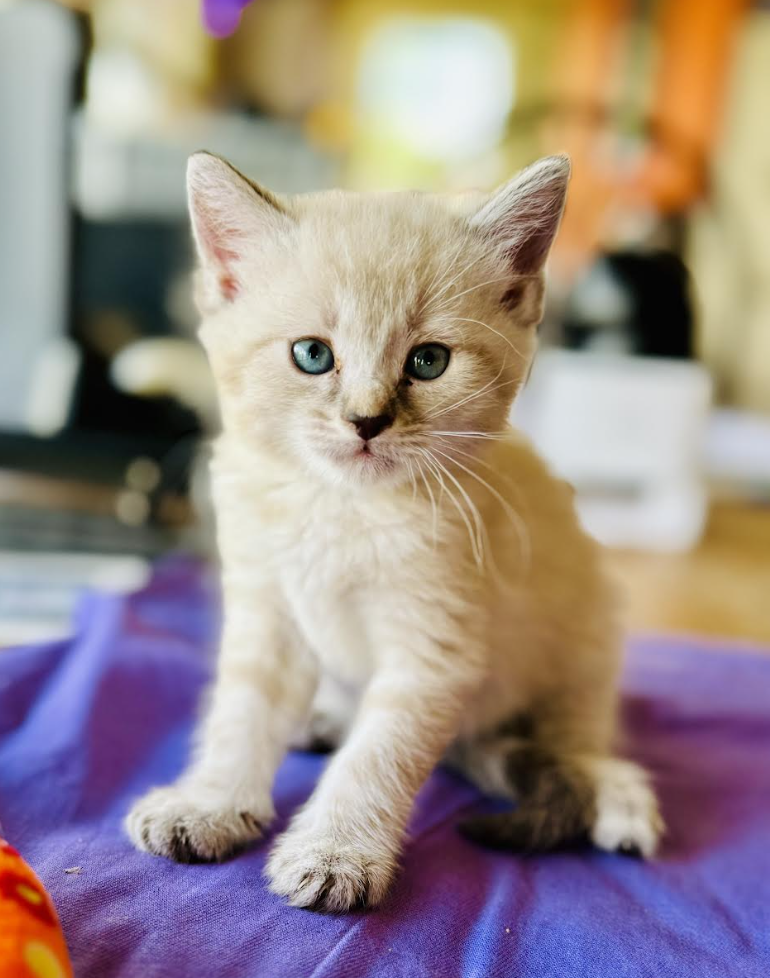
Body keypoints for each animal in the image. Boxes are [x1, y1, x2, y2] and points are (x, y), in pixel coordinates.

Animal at [124, 151, 660, 908]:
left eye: (428, 361)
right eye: (312, 355)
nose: (367, 420)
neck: (341, 510)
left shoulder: (435, 651)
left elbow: (378, 754)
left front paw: (336, 852)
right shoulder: (268, 612)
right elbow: (241, 715)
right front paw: (209, 804)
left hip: (583, 653)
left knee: (575, 750)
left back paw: (620, 802)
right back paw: (321, 720)